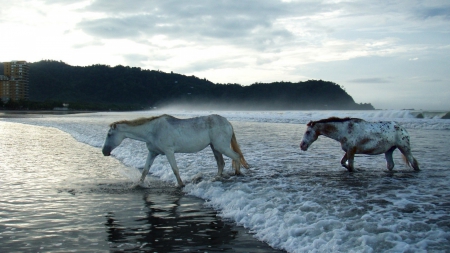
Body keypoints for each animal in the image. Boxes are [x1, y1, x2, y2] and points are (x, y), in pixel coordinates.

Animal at [102, 114, 250, 186]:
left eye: (109, 134)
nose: (104, 152)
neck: (152, 130)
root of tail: (227, 122)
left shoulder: (169, 152)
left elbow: (175, 169)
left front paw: (180, 185)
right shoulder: (152, 153)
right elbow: (145, 170)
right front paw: (139, 184)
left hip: (221, 146)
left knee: (236, 156)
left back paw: (237, 174)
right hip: (215, 147)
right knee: (221, 163)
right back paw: (216, 178)